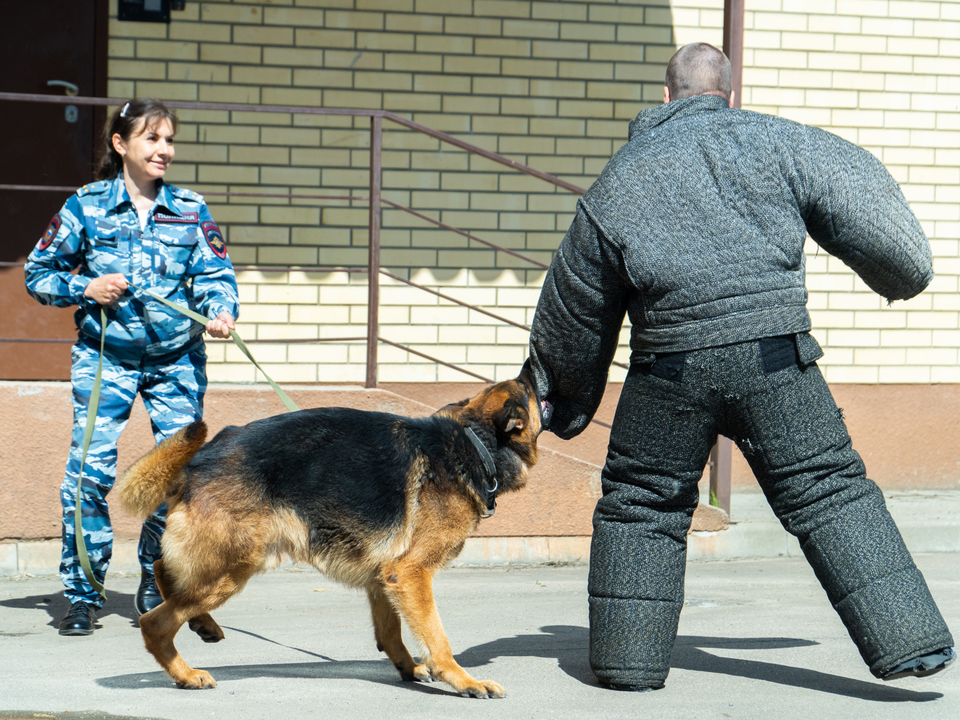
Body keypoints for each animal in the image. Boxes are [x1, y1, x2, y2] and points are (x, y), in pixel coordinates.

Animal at [114, 368, 540, 696]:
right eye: (529, 388)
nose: (532, 366)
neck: (475, 443)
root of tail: (196, 462)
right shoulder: (411, 573)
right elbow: (437, 637)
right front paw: (463, 681)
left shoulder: (385, 578)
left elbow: (391, 632)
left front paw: (409, 668)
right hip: (234, 566)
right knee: (157, 619)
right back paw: (186, 673)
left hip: (221, 560)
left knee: (161, 570)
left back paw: (202, 624)